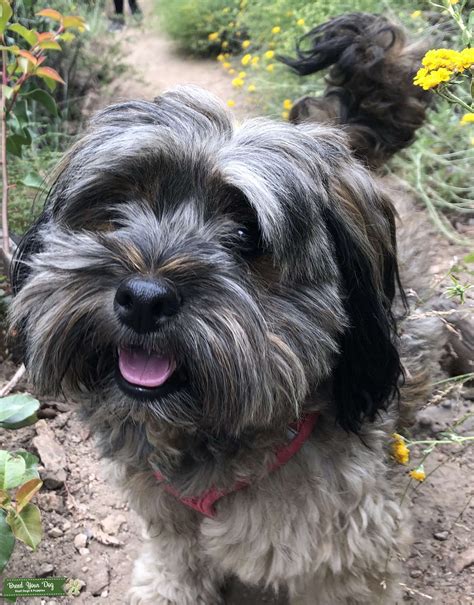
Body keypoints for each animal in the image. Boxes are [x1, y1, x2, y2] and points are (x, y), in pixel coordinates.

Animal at [8, 10, 444, 604]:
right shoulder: (163, 508)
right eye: (117, 209)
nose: (142, 300)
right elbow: (175, 556)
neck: (208, 434)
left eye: (245, 235)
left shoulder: (346, 549)